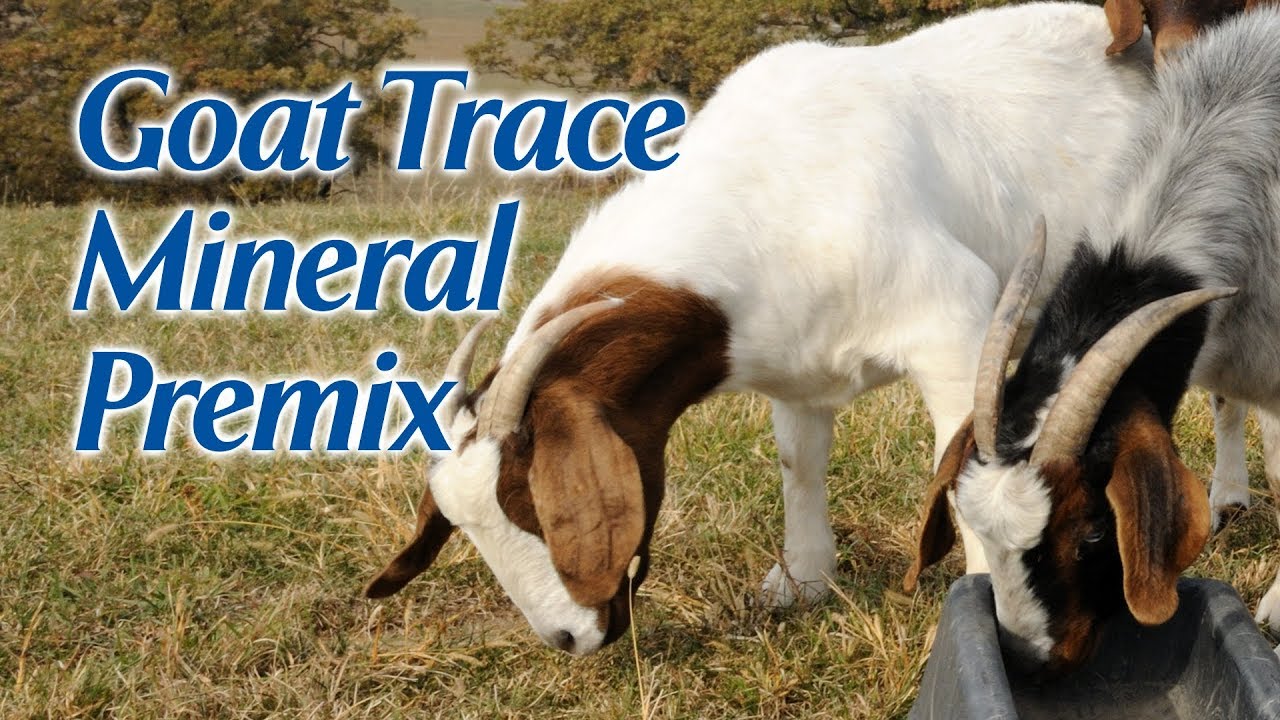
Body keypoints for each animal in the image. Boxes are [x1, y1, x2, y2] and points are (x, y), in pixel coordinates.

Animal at [362, 2, 1157, 655]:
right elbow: (798, 463)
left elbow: (962, 459)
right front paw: (801, 583)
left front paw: (989, 602)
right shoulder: (794, 367)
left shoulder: (955, 323)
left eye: (531, 500)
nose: (564, 638)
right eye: (462, 524)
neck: (766, 195)